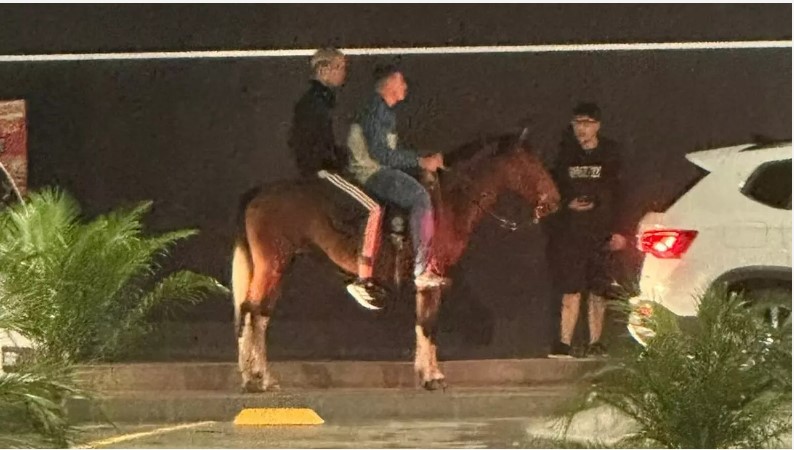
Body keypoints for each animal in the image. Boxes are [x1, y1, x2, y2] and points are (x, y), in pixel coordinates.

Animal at [232, 132, 560, 392]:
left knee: (260, 315)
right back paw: (255, 379)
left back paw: (261, 377)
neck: (449, 202)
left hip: (279, 265)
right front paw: (433, 377)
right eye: (529, 165)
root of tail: (258, 194)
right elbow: (428, 324)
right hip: (272, 264)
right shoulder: (430, 278)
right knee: (251, 310)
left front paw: (426, 373)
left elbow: (423, 323)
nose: (554, 201)